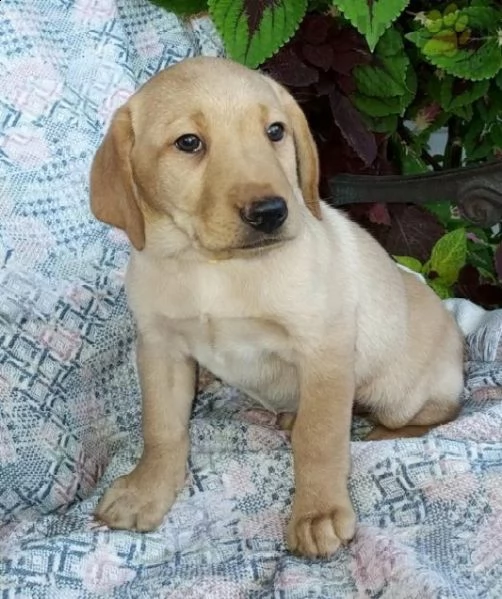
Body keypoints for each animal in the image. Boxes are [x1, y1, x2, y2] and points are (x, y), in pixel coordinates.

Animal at [90, 56, 462, 556]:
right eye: (189, 142)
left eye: (275, 131)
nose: (270, 212)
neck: (213, 267)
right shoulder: (160, 347)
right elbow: (161, 427)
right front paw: (146, 490)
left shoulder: (323, 347)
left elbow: (320, 437)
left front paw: (317, 512)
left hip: (399, 392)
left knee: (434, 413)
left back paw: (379, 431)